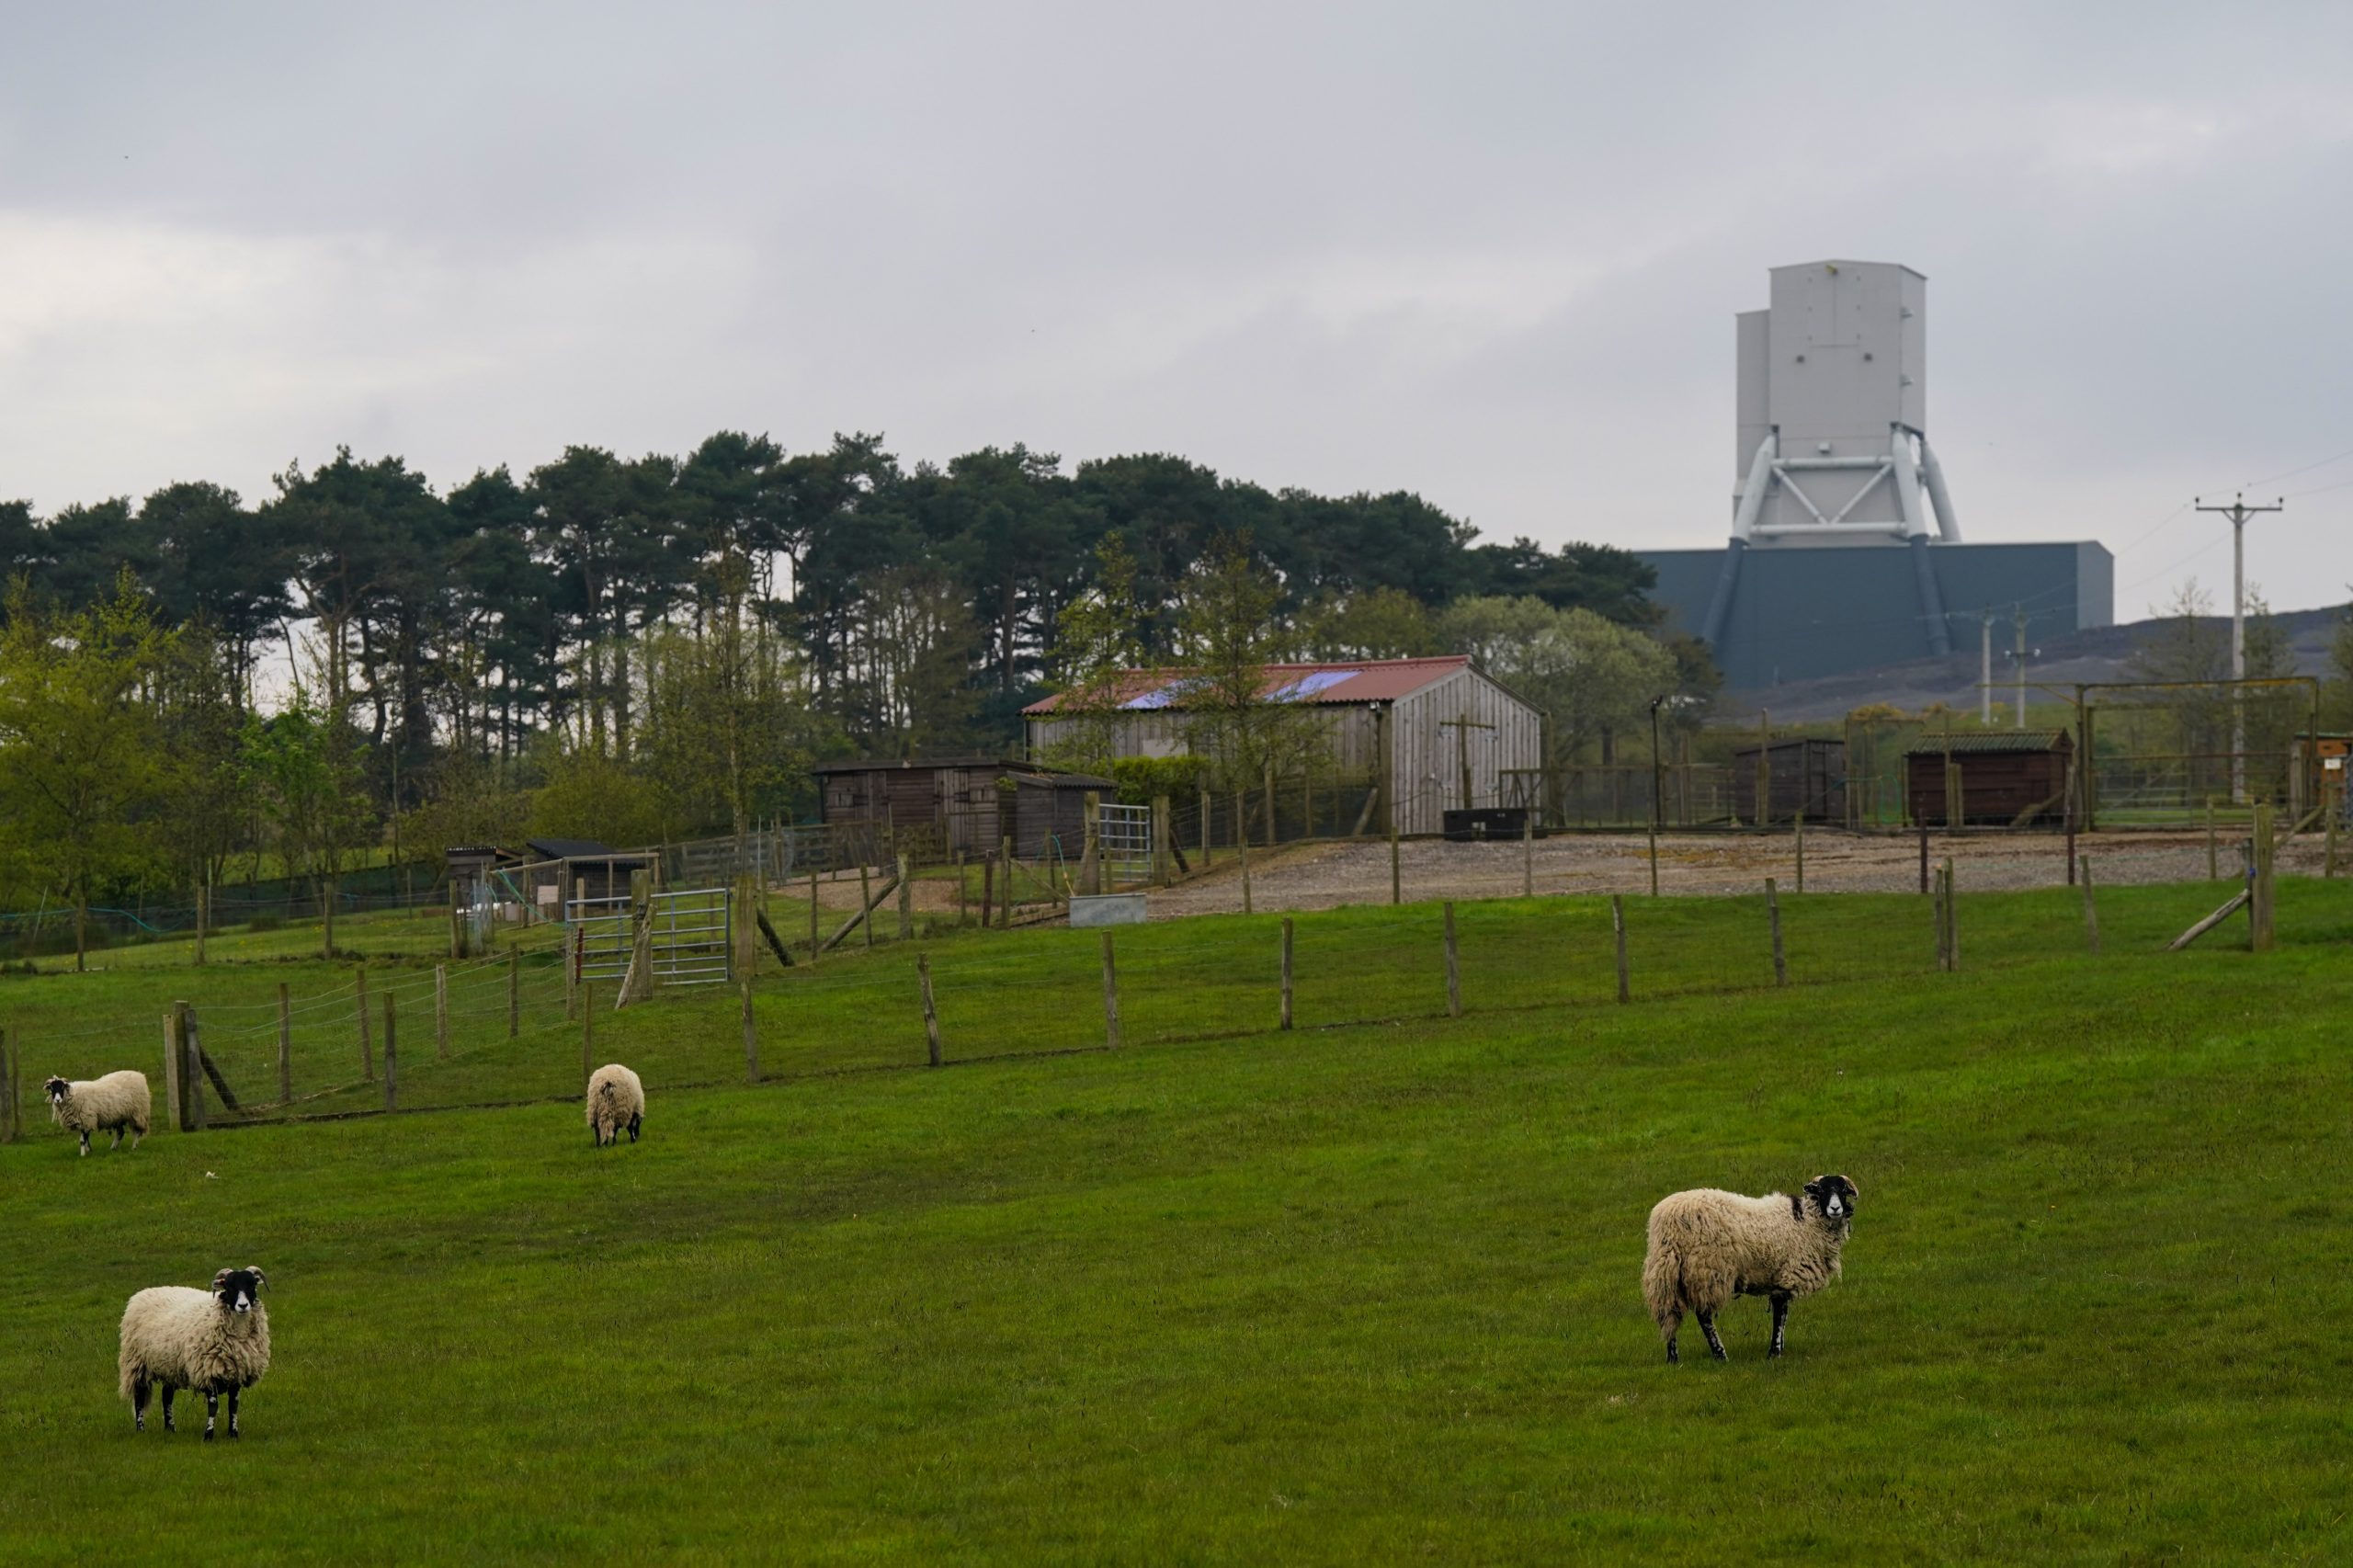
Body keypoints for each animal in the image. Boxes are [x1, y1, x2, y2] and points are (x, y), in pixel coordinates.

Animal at [118, 1261, 269, 1431]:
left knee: (166, 1395)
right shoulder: (208, 1370)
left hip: (170, 1364)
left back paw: (170, 1429)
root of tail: (141, 1293)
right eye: (229, 1286)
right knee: (139, 1397)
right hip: (136, 1362)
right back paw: (141, 1429)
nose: (243, 1306)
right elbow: (213, 1407)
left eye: (252, 1284)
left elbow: (233, 1406)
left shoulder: (238, 1371)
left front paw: (233, 1433)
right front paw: (208, 1433)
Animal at [1637, 1167, 1854, 1365]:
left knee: (1669, 1313)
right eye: (1822, 1190)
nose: (1836, 1209)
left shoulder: (1780, 1277)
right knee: (1703, 1316)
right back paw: (1720, 1355)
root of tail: (1668, 1218)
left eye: (1843, 1190)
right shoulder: (1787, 1274)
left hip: (1667, 1271)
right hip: (1706, 1269)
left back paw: (1673, 1359)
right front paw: (1774, 1352)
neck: (1806, 1222)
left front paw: (1779, 1349)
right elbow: (1780, 1314)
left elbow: (1783, 1314)